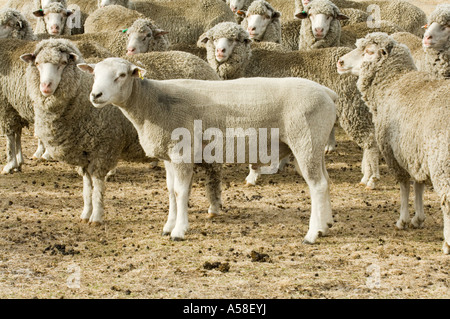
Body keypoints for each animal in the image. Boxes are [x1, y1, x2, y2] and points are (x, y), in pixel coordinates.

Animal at [78, 57, 338, 245]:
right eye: (94, 74)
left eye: (121, 75)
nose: (95, 95)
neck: (152, 104)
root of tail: (327, 92)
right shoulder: (169, 155)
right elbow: (170, 191)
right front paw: (168, 226)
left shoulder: (182, 151)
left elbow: (181, 192)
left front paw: (179, 230)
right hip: (314, 143)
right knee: (325, 181)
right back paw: (325, 227)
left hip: (305, 140)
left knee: (317, 185)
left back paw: (312, 234)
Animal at [200, 21, 380, 190]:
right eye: (213, 39)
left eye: (236, 39)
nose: (220, 51)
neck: (247, 64)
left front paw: (252, 176)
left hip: (352, 108)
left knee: (370, 142)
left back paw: (369, 179)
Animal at [338, 32, 450, 256]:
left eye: (368, 51)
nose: (340, 62)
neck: (394, 81)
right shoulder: (414, 152)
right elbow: (419, 185)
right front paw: (418, 219)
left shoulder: (393, 152)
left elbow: (404, 186)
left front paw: (403, 220)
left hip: (442, 164)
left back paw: (447, 244)